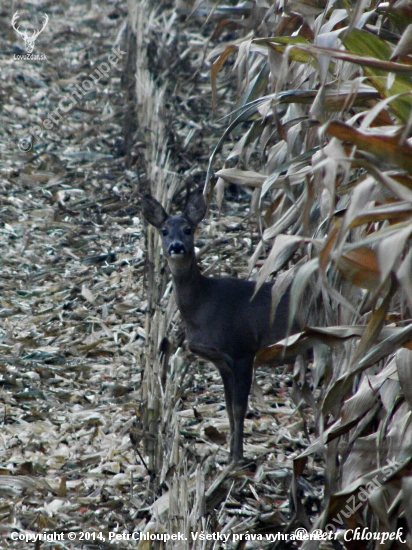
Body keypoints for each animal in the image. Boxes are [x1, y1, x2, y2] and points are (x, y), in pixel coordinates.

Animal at [142, 190, 296, 462]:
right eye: (164, 231)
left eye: (188, 229)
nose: (176, 247)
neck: (205, 303)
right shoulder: (221, 361)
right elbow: (228, 407)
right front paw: (230, 454)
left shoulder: (243, 349)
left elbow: (239, 407)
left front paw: (237, 459)